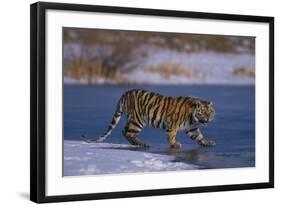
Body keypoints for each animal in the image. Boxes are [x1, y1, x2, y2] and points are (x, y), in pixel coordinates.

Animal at [82, 89, 215, 148]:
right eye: (203, 113)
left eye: (210, 113)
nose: (207, 120)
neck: (193, 118)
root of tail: (125, 93)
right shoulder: (173, 125)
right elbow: (171, 136)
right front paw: (175, 144)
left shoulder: (191, 128)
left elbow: (199, 136)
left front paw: (208, 143)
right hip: (137, 120)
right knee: (127, 132)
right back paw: (143, 144)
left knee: (126, 132)